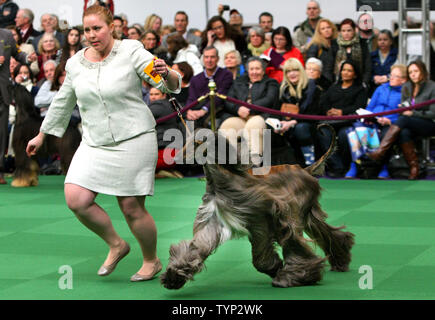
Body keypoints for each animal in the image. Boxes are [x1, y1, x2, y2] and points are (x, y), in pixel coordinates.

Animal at [162, 125, 356, 290]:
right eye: (186, 141)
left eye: (197, 143)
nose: (176, 157)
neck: (221, 184)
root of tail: (305, 170)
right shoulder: (212, 221)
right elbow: (199, 245)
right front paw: (174, 276)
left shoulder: (261, 217)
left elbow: (260, 256)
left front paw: (277, 269)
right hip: (308, 213)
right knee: (328, 233)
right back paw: (341, 260)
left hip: (294, 212)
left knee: (296, 240)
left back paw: (297, 275)